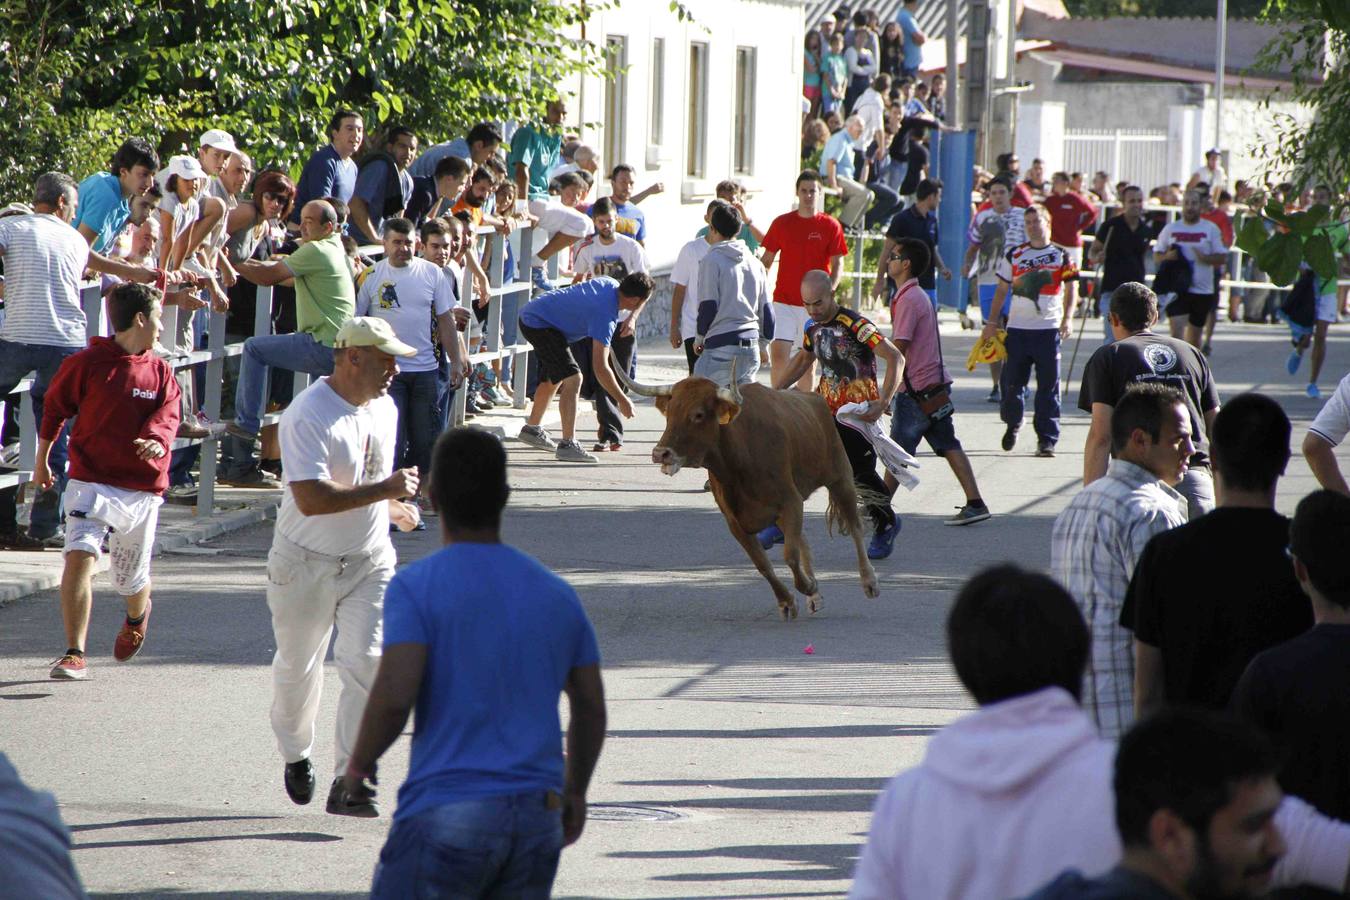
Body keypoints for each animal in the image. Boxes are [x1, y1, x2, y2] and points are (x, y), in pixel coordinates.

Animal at [615, 358, 879, 620]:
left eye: (698, 414)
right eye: (670, 412)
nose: (661, 453)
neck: (739, 462)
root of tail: (817, 399)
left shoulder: (790, 501)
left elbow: (790, 555)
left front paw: (807, 586)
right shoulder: (736, 522)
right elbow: (763, 563)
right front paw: (788, 600)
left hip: (840, 477)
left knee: (854, 527)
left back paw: (869, 581)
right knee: (803, 539)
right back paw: (815, 597)